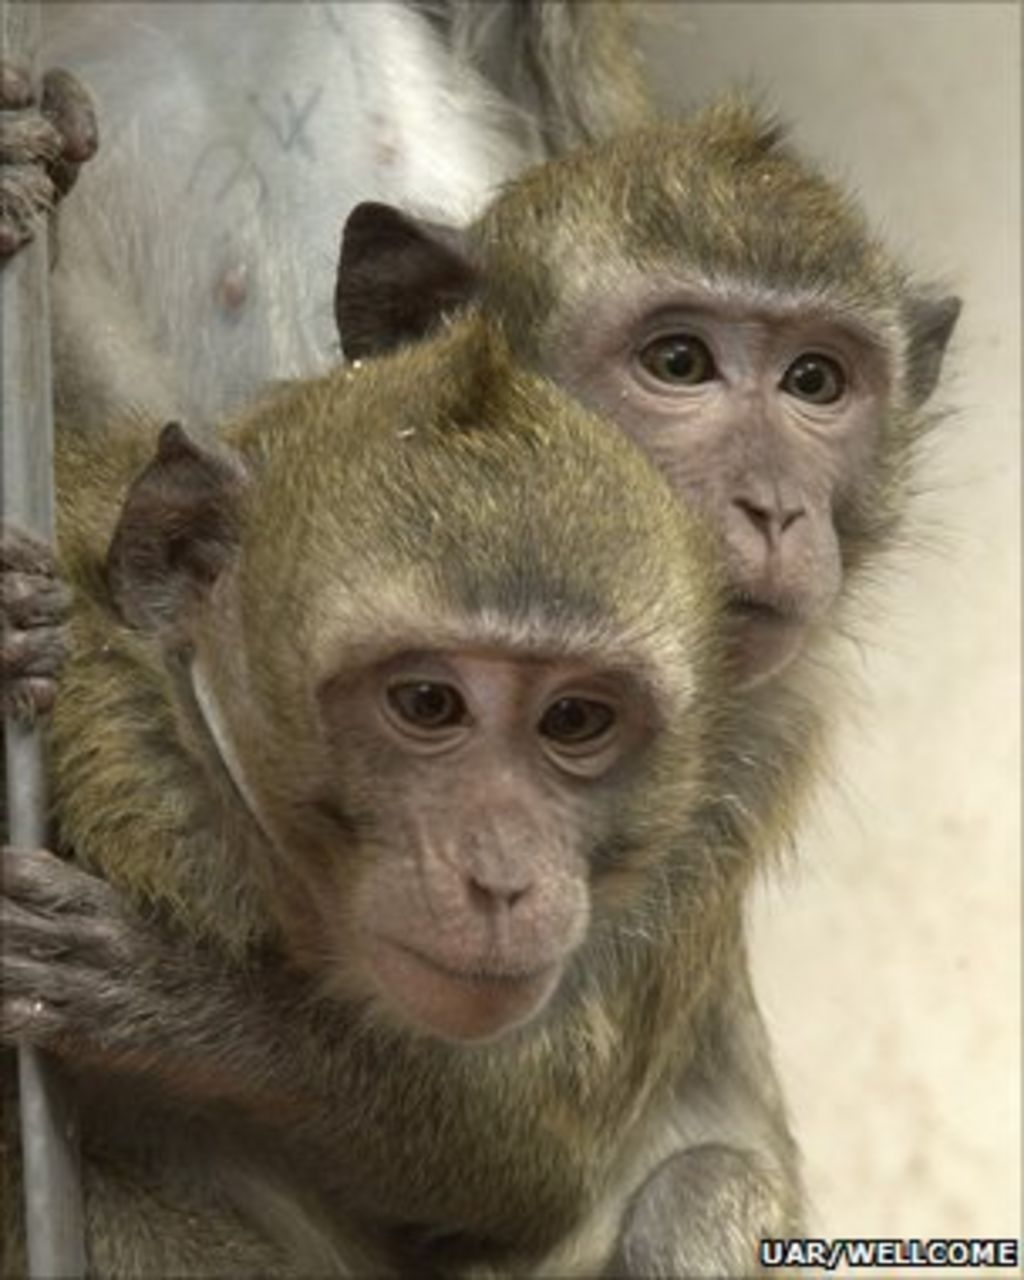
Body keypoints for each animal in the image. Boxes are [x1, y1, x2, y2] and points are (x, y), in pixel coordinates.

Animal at [3, 313, 808, 1277]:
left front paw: (186, 1004)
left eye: (575, 719)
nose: (503, 876)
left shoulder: (705, 815)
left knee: (701, 1187)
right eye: (427, 703)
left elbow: (535, 1170)